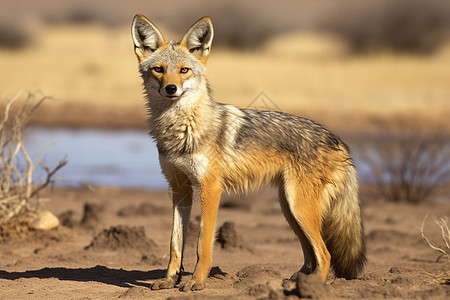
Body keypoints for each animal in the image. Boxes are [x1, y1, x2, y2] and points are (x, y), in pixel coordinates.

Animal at [130, 14, 366, 292]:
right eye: (159, 69)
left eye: (184, 70)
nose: (170, 89)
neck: (182, 127)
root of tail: (339, 141)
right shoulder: (180, 190)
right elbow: (175, 244)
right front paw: (169, 280)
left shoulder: (211, 189)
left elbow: (202, 244)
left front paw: (196, 282)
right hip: (290, 209)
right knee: (311, 254)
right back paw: (297, 280)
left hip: (299, 208)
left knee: (325, 253)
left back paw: (311, 287)